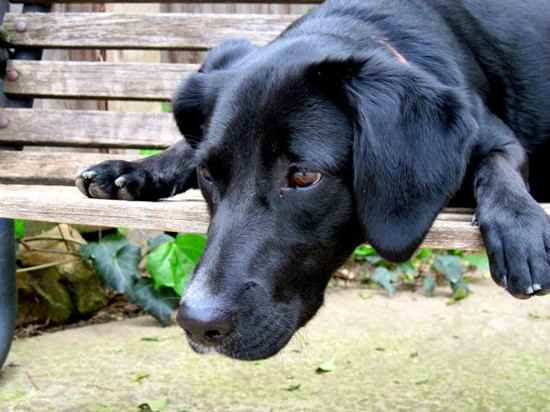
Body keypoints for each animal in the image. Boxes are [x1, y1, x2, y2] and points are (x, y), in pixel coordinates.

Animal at [75, 0, 550, 358]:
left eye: (304, 177)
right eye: (210, 174)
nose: (194, 323)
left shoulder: (497, 138)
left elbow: (498, 168)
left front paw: (520, 226)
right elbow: (186, 147)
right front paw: (135, 169)